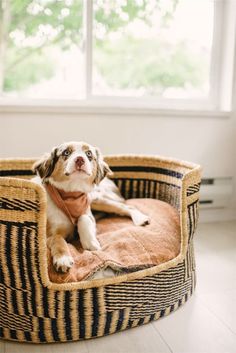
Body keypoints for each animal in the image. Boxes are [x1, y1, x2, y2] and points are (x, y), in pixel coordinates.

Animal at [32, 141, 149, 272]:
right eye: (66, 152)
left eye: (88, 153)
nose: (80, 159)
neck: (71, 194)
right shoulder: (49, 234)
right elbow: (58, 239)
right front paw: (63, 259)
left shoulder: (86, 209)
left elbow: (84, 217)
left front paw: (90, 242)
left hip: (96, 199)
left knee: (125, 207)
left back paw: (141, 219)